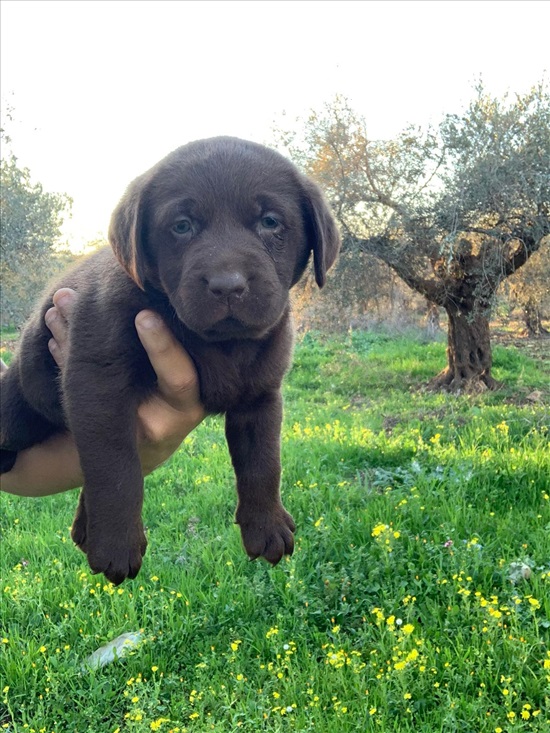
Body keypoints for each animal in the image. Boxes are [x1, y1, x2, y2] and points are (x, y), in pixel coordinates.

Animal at [1, 137, 340, 584]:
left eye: (270, 222)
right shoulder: (98, 382)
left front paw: (266, 525)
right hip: (21, 405)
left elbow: (263, 460)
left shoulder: (262, 394)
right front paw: (116, 544)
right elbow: (115, 466)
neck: (219, 343)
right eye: (182, 226)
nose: (227, 286)